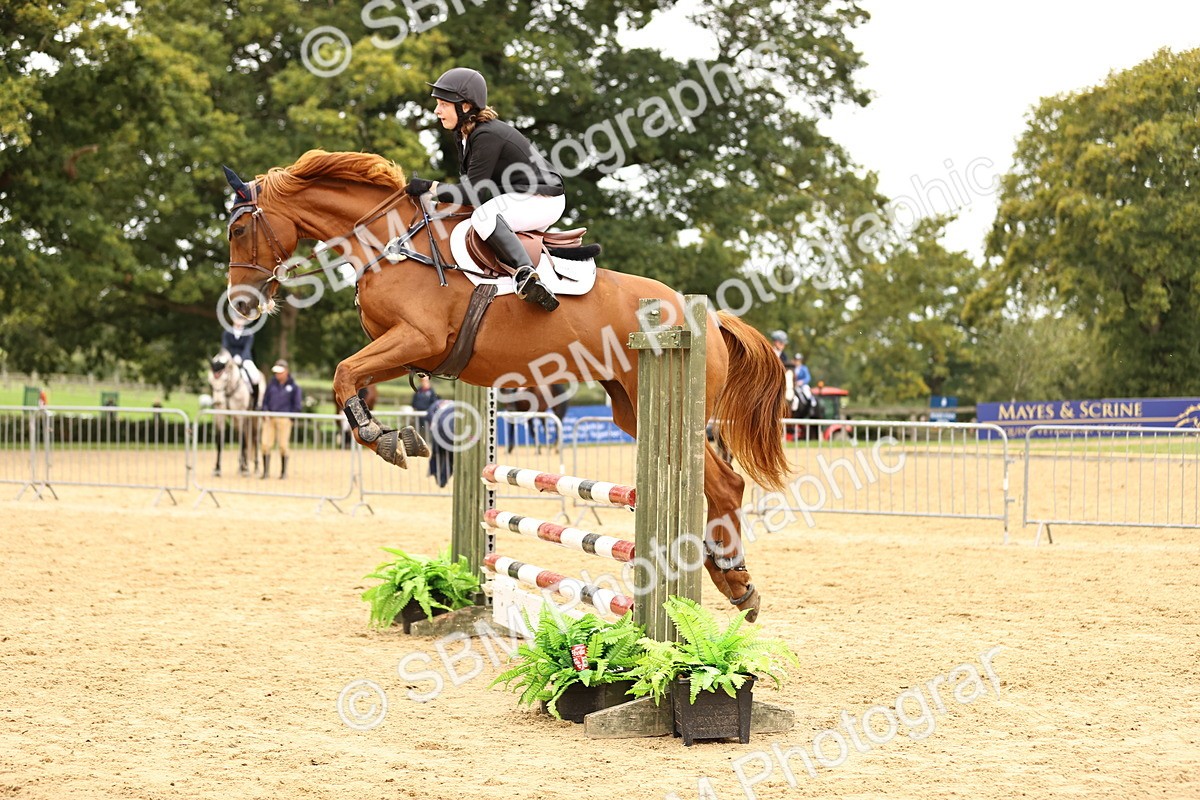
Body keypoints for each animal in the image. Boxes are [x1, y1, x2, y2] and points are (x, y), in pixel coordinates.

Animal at [221, 150, 786, 620]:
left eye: (239, 230)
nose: (242, 305)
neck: (391, 246)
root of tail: (706, 317)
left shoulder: (415, 338)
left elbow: (342, 375)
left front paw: (385, 440)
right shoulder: (407, 350)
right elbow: (349, 380)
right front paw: (397, 437)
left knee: (726, 484)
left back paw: (729, 577)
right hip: (630, 408)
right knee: (717, 484)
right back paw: (733, 580)